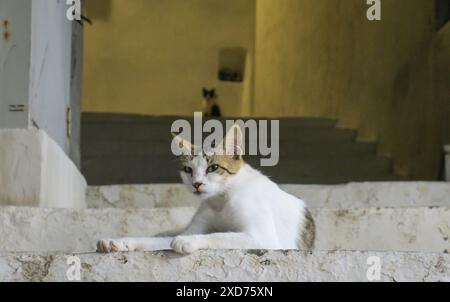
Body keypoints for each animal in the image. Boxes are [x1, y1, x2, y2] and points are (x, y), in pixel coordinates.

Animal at [97, 124, 316, 254]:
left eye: (213, 168)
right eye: (188, 170)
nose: (196, 183)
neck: (221, 200)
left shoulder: (264, 238)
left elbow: (219, 236)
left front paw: (188, 242)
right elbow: (153, 241)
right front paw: (120, 242)